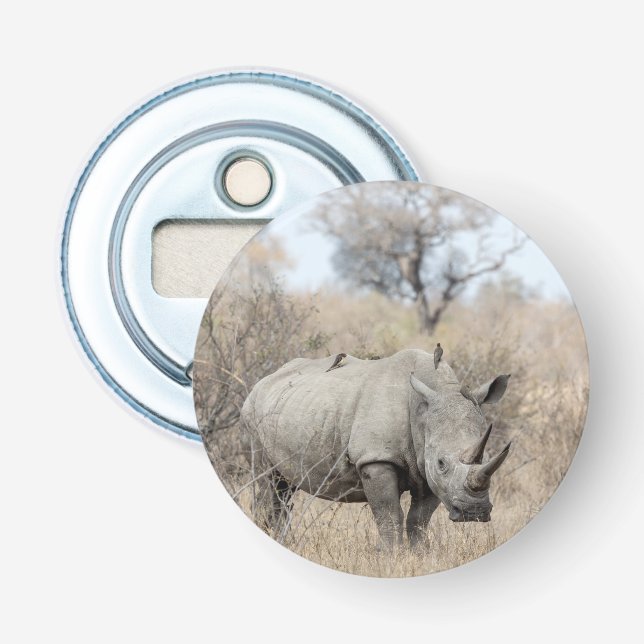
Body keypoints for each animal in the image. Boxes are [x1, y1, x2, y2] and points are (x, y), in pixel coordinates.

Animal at [240, 348, 511, 548]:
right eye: (442, 463)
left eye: (485, 457)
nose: (473, 513)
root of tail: (264, 380)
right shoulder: (376, 459)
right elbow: (389, 516)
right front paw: (393, 557)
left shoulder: (427, 468)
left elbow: (418, 521)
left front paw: (420, 556)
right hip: (252, 416)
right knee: (269, 482)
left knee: (284, 489)